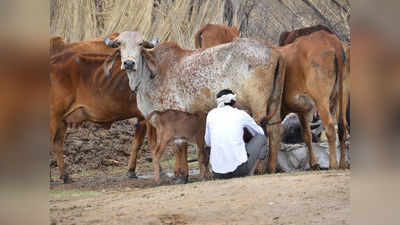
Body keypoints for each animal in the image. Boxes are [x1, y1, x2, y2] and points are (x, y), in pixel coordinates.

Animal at [49, 48, 155, 183]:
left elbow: (138, 143)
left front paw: (131, 171)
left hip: (61, 120)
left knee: (57, 144)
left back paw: (65, 176)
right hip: (53, 115)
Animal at [103, 30, 284, 173]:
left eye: (140, 44)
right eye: (120, 44)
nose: (128, 63)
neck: (148, 76)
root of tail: (273, 50)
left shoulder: (172, 111)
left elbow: (178, 146)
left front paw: (180, 175)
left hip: (257, 105)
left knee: (261, 130)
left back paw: (258, 169)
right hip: (273, 102)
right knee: (275, 130)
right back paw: (271, 168)